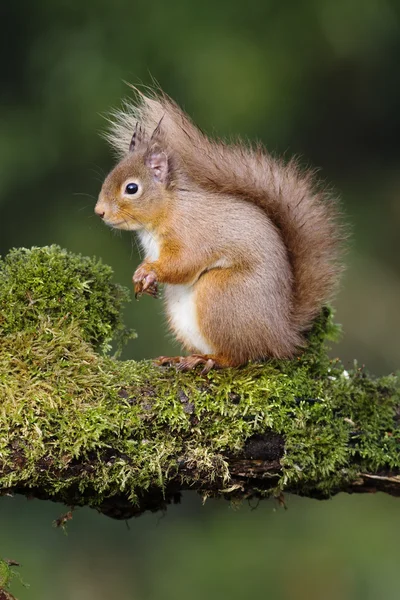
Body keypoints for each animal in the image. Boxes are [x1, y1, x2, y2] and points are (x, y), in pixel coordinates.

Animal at [94, 89, 344, 372]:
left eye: (132, 188)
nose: (99, 211)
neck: (167, 211)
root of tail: (280, 335)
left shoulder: (192, 235)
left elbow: (183, 263)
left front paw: (149, 271)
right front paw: (142, 280)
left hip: (220, 296)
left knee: (240, 356)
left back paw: (210, 360)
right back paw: (180, 358)